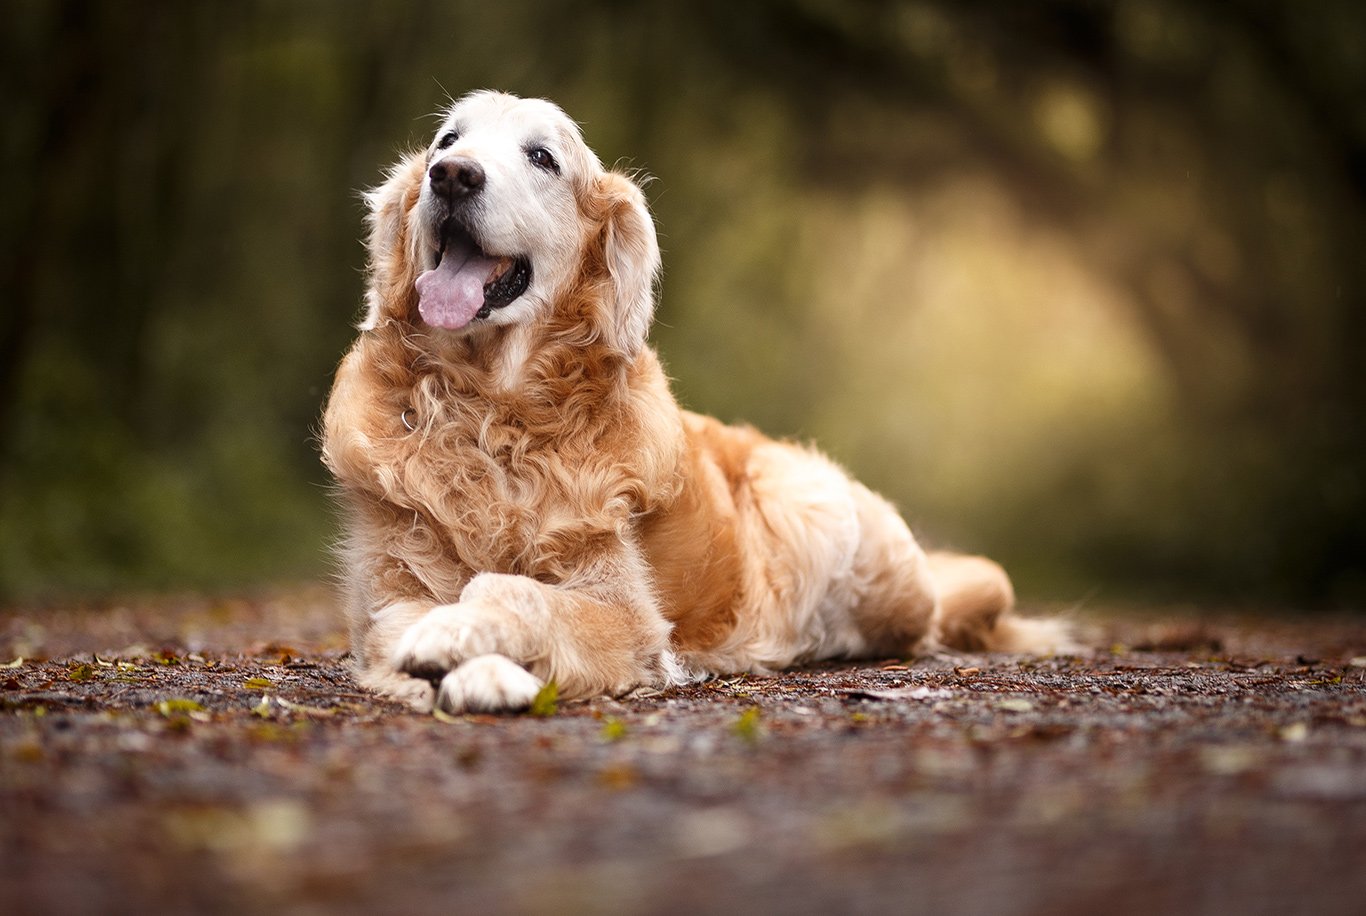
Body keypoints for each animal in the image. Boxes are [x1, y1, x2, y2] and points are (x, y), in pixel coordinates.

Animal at [319, 91, 1065, 715]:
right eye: (447, 140)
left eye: (542, 157)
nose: (452, 175)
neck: (491, 413)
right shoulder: (387, 595)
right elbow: (409, 622)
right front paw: (462, 661)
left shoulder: (625, 613)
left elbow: (513, 590)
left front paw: (469, 646)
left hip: (812, 507)